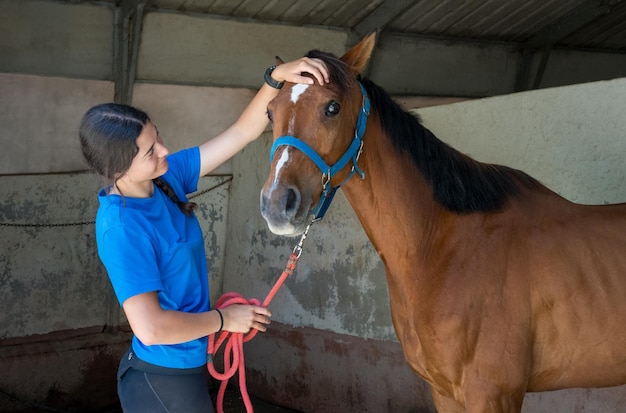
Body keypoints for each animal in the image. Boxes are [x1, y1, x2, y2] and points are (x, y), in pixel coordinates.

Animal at [258, 33, 624, 410]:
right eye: (270, 112)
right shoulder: (444, 391)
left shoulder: (492, 394)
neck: (443, 247)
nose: (277, 204)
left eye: (332, 107)